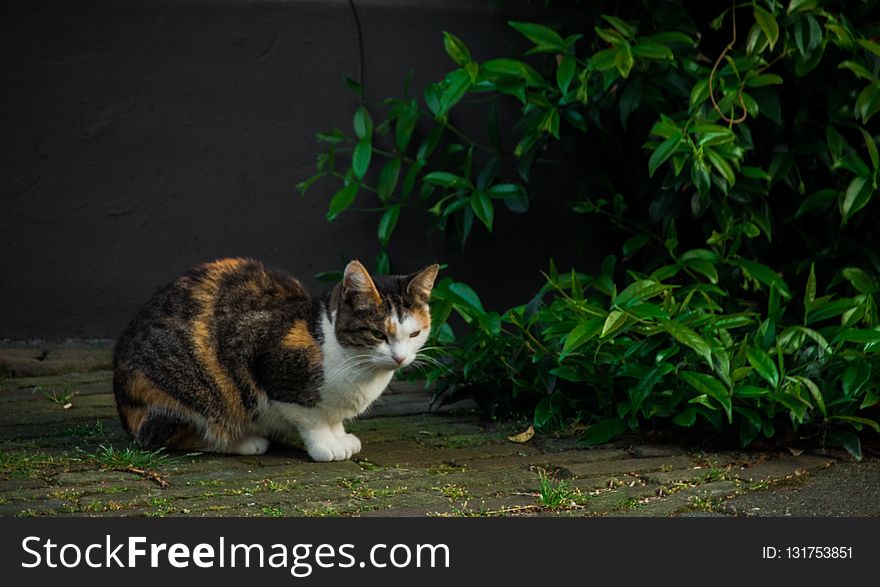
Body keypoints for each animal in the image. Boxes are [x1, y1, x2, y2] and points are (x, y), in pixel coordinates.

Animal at [111, 260, 438, 462]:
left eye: (415, 333)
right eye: (377, 334)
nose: (400, 357)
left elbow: (332, 418)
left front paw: (341, 437)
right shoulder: (270, 365)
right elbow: (311, 418)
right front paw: (325, 445)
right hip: (187, 393)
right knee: (164, 436)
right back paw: (243, 441)